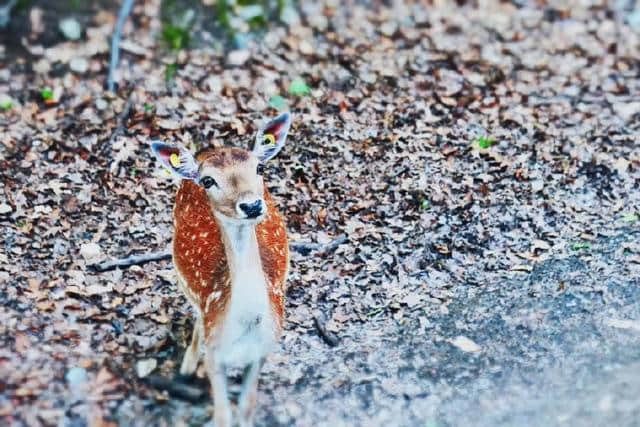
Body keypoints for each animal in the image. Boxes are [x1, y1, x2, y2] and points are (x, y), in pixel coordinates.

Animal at [150, 112, 292, 426]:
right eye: (208, 180)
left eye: (259, 167)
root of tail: (207, 150)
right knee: (195, 316)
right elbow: (223, 416)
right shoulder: (216, 357)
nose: (251, 205)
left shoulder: (263, 351)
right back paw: (188, 367)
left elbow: (247, 408)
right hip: (182, 279)